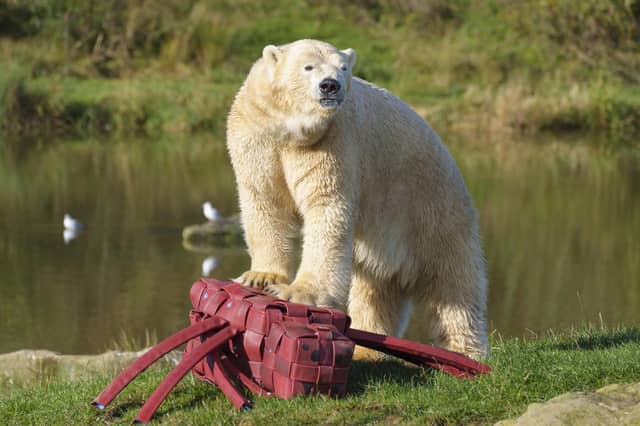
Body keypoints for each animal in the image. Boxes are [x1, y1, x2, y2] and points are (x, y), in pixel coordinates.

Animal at [226, 39, 488, 358]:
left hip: (434, 212)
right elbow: (265, 202)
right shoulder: (257, 135)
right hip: (388, 241)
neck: (291, 130)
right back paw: (367, 349)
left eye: (343, 68)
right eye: (308, 66)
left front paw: (297, 292)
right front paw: (261, 277)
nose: (330, 86)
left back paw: (465, 351)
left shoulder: (334, 141)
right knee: (376, 292)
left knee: (454, 286)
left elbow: (326, 210)